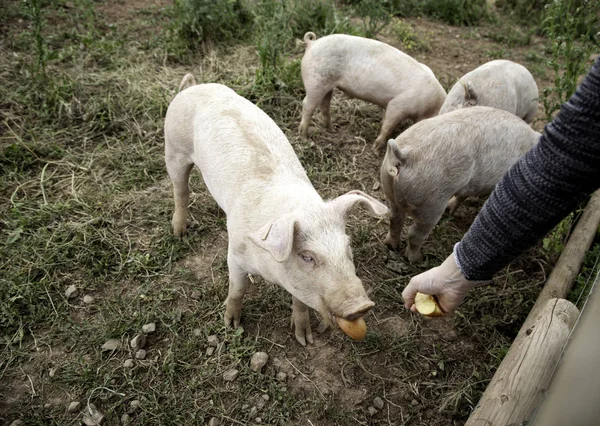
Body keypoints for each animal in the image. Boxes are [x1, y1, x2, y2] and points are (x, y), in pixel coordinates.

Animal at [164, 73, 390, 346]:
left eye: (348, 247)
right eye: (307, 257)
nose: (362, 306)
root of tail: (193, 87)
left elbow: (300, 302)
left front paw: (305, 340)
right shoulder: (235, 255)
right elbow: (237, 289)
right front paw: (231, 324)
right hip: (173, 148)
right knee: (180, 191)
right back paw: (179, 233)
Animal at [298, 31, 446, 156]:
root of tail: (312, 43)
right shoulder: (398, 104)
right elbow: (388, 127)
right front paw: (376, 152)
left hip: (327, 84)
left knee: (324, 104)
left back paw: (332, 129)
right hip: (316, 81)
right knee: (307, 105)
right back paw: (305, 138)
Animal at [380, 106, 544, 262]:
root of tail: (405, 155)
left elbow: (462, 196)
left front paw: (451, 209)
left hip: (390, 190)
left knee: (394, 218)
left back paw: (390, 245)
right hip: (430, 203)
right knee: (414, 233)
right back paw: (416, 259)